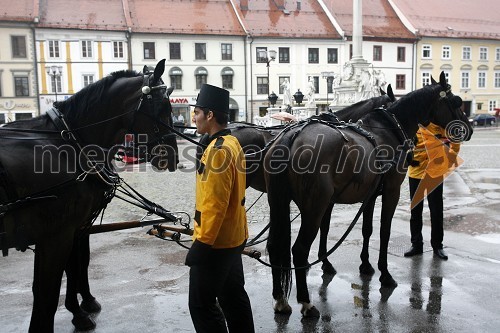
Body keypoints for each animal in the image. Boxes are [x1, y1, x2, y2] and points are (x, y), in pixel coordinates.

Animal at [0, 59, 179, 330]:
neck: (72, 145)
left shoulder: (75, 228)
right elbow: (50, 290)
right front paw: (80, 311)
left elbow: (75, 266)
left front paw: (81, 305)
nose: (173, 157)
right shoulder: (58, 235)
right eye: (161, 107)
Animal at [262, 72, 472, 316]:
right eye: (456, 101)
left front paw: (365, 265)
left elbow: (366, 230)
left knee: (275, 245)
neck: (388, 128)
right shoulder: (391, 191)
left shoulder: (370, 195)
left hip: (279, 203)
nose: (468, 128)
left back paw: (280, 300)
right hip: (314, 206)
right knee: (299, 249)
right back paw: (306, 302)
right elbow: (384, 232)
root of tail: (292, 135)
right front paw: (385, 274)